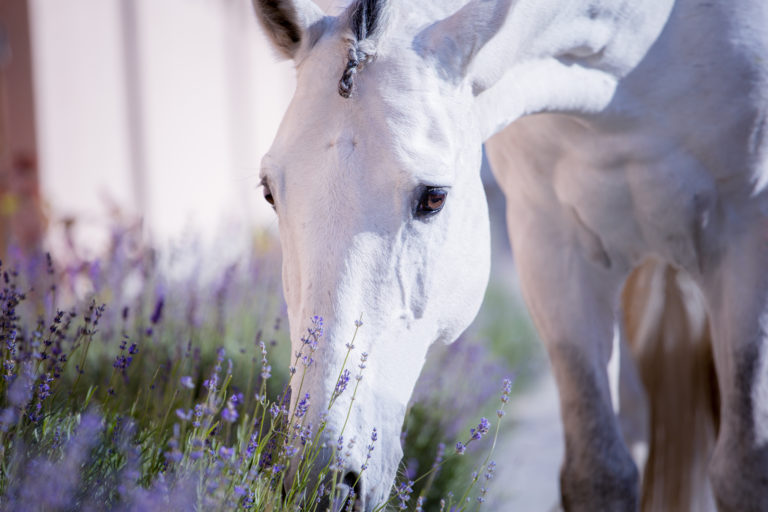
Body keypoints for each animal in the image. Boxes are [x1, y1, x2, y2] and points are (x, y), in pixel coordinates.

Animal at [253, 0, 768, 510]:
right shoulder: (551, 245)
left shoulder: (748, 239)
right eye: (269, 193)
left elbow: (744, 467)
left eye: (434, 198)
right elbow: (598, 471)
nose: (321, 482)